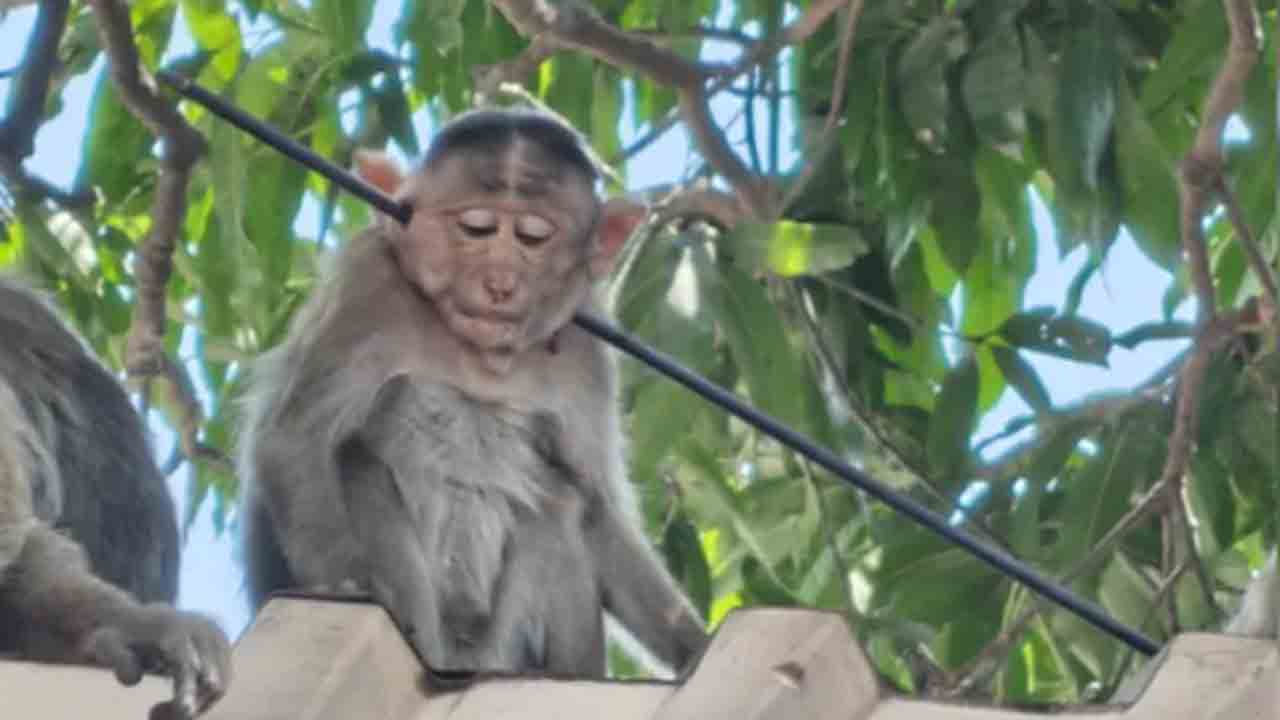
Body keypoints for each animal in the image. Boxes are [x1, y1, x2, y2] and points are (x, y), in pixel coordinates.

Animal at [237, 108, 707, 677]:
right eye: (475, 228)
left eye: (533, 238)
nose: (499, 280)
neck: (475, 352)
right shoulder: (366, 287)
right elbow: (294, 437)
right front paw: (346, 583)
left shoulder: (585, 350)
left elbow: (597, 504)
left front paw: (691, 643)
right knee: (356, 462)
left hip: (498, 646)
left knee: (557, 504)